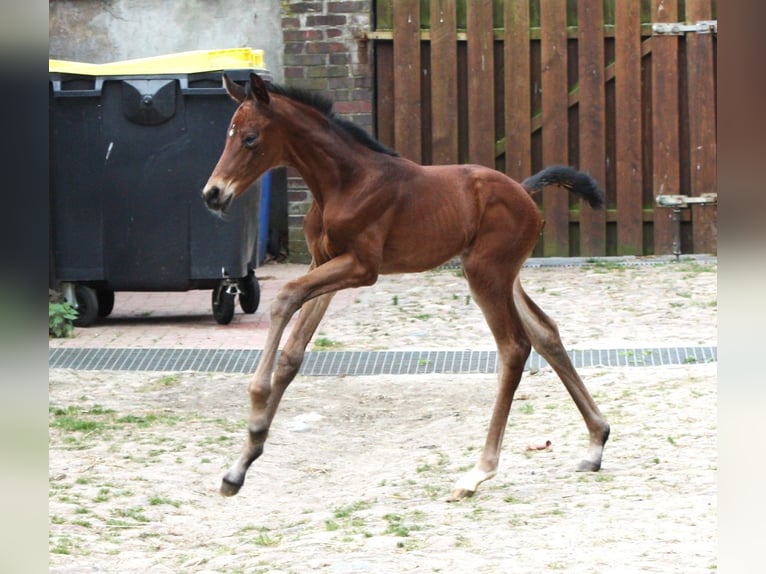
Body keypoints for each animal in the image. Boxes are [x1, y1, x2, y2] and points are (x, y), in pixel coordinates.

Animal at [204, 73, 612, 504]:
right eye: (228, 134)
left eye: (249, 138)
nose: (213, 193)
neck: (346, 182)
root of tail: (524, 191)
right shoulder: (324, 263)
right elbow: (293, 352)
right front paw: (240, 466)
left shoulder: (361, 267)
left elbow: (284, 297)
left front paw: (255, 407)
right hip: (505, 275)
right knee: (545, 332)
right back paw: (596, 442)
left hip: (485, 273)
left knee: (514, 348)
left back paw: (479, 472)